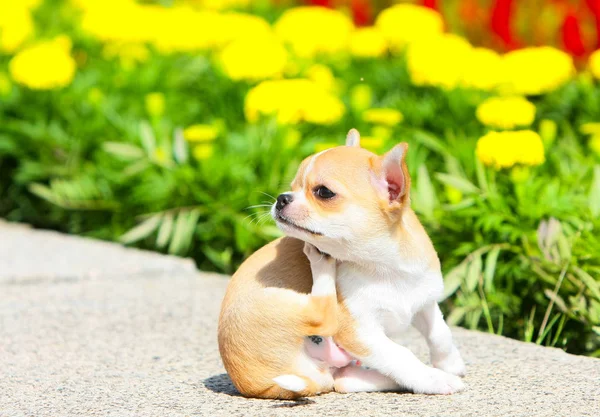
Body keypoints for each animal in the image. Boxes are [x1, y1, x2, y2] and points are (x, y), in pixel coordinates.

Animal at [218, 128, 466, 398]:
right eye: (293, 186)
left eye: (323, 192)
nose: (281, 198)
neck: (383, 267)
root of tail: (260, 386)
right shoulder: (359, 331)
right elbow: (401, 355)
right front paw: (434, 379)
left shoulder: (424, 301)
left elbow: (440, 333)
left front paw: (449, 364)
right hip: (275, 302)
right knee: (322, 313)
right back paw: (320, 262)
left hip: (335, 368)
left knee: (345, 380)